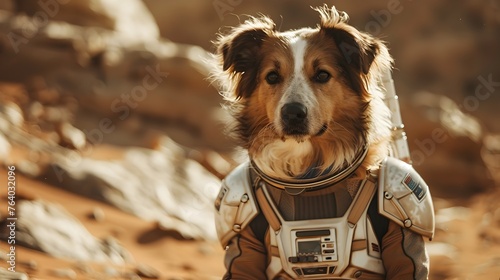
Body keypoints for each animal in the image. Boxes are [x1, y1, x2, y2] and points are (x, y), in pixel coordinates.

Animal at [211, 5, 434, 278]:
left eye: (322, 75)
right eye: (272, 77)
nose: (292, 113)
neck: (307, 179)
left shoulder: (401, 218)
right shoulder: (242, 224)